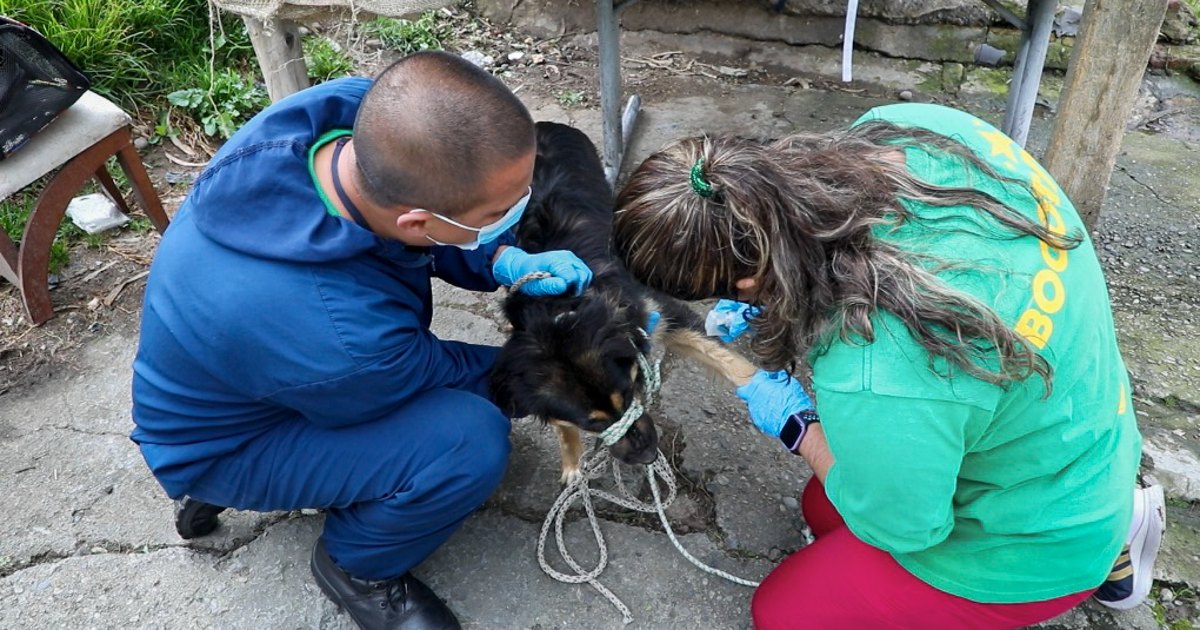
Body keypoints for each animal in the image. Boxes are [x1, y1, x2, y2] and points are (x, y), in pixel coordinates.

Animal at [489, 121, 753, 482]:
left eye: (628, 394)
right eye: (592, 423)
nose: (649, 455)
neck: (560, 312)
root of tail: (542, 125)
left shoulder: (656, 311)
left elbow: (729, 361)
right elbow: (559, 423)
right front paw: (572, 462)